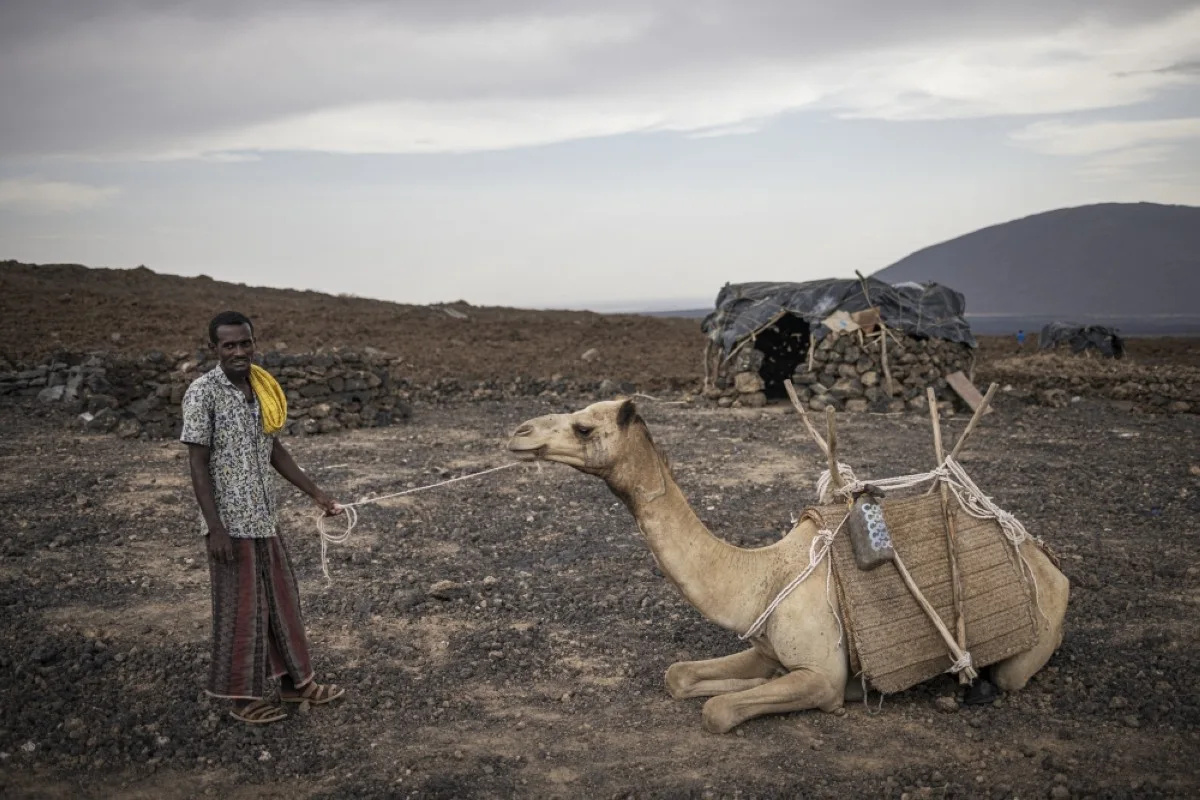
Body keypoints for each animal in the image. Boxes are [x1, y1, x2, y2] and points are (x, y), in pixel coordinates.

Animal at [507, 398, 1069, 733]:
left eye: (583, 426)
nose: (519, 432)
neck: (762, 577)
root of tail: (1049, 563)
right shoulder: (764, 647)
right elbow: (678, 676)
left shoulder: (819, 674)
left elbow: (718, 711)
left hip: (1029, 646)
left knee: (1009, 676)